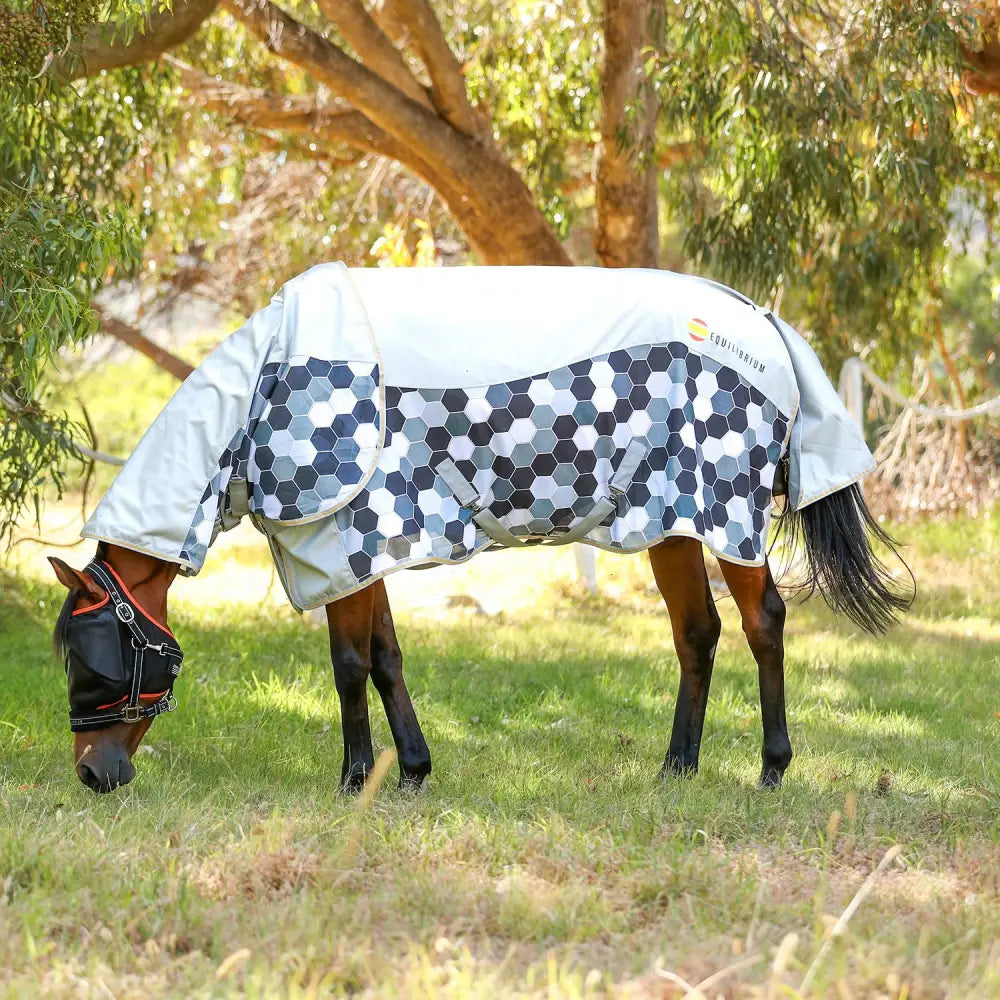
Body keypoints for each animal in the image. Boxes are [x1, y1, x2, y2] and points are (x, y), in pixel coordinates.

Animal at [49, 264, 912, 794]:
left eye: (99, 658)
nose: (91, 772)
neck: (267, 383)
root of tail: (762, 323)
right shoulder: (365, 550)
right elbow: (386, 659)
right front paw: (410, 771)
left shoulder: (344, 541)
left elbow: (349, 666)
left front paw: (353, 777)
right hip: (670, 522)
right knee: (697, 633)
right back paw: (677, 768)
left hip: (725, 514)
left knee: (764, 621)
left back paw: (772, 767)